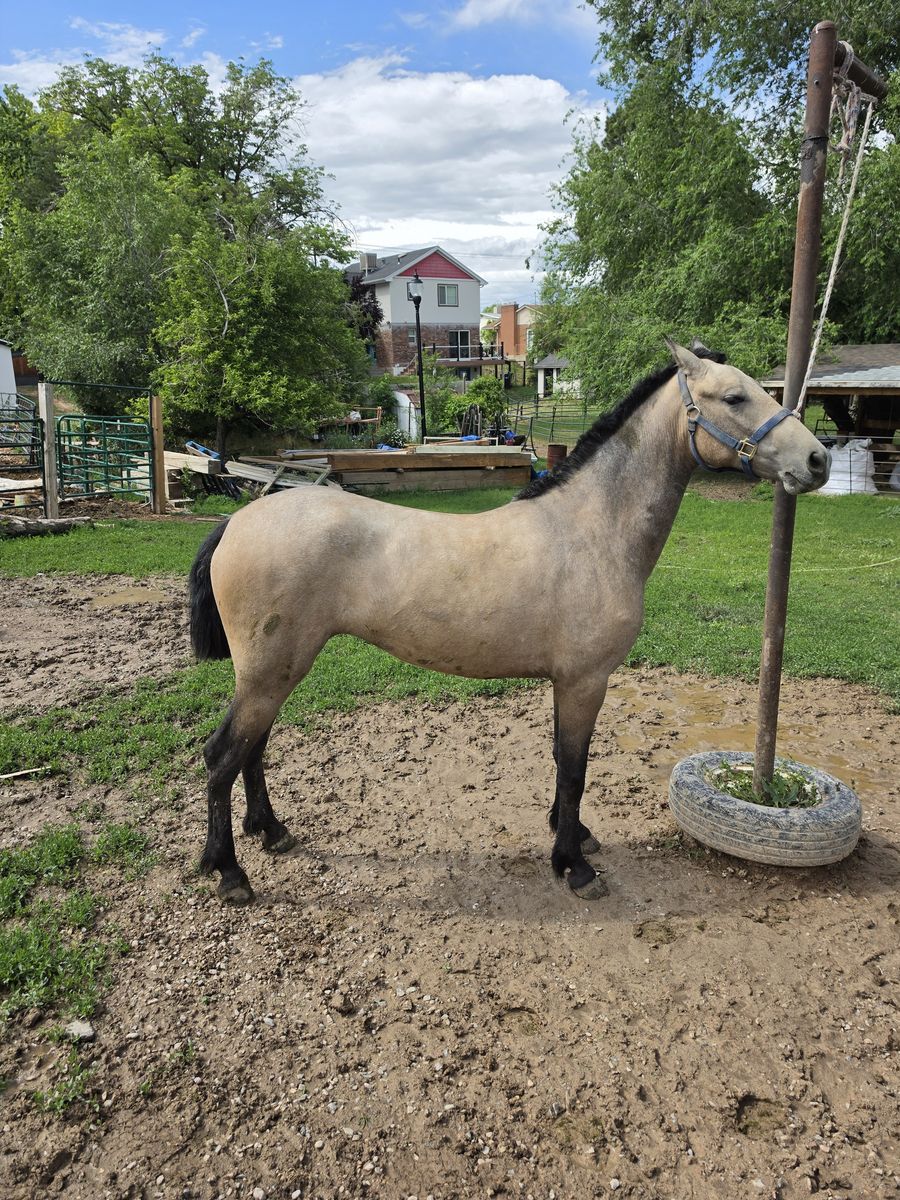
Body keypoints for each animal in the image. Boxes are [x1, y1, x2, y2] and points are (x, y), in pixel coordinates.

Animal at [189, 341, 829, 905]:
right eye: (735, 396)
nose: (817, 460)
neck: (593, 528)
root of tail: (237, 520)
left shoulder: (570, 683)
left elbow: (565, 765)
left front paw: (572, 837)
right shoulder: (584, 681)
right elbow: (573, 770)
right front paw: (573, 865)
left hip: (275, 672)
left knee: (252, 749)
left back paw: (270, 831)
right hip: (271, 672)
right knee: (222, 756)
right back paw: (229, 874)